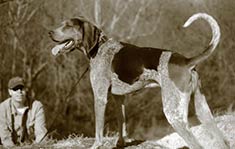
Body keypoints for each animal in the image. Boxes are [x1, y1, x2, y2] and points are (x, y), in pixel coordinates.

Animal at [49, 13, 228, 148]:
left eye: (67, 25)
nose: (50, 32)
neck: (99, 47)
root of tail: (186, 61)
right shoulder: (119, 98)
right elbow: (122, 124)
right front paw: (120, 143)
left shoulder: (100, 98)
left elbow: (98, 130)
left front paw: (96, 146)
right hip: (203, 110)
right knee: (222, 140)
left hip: (173, 113)